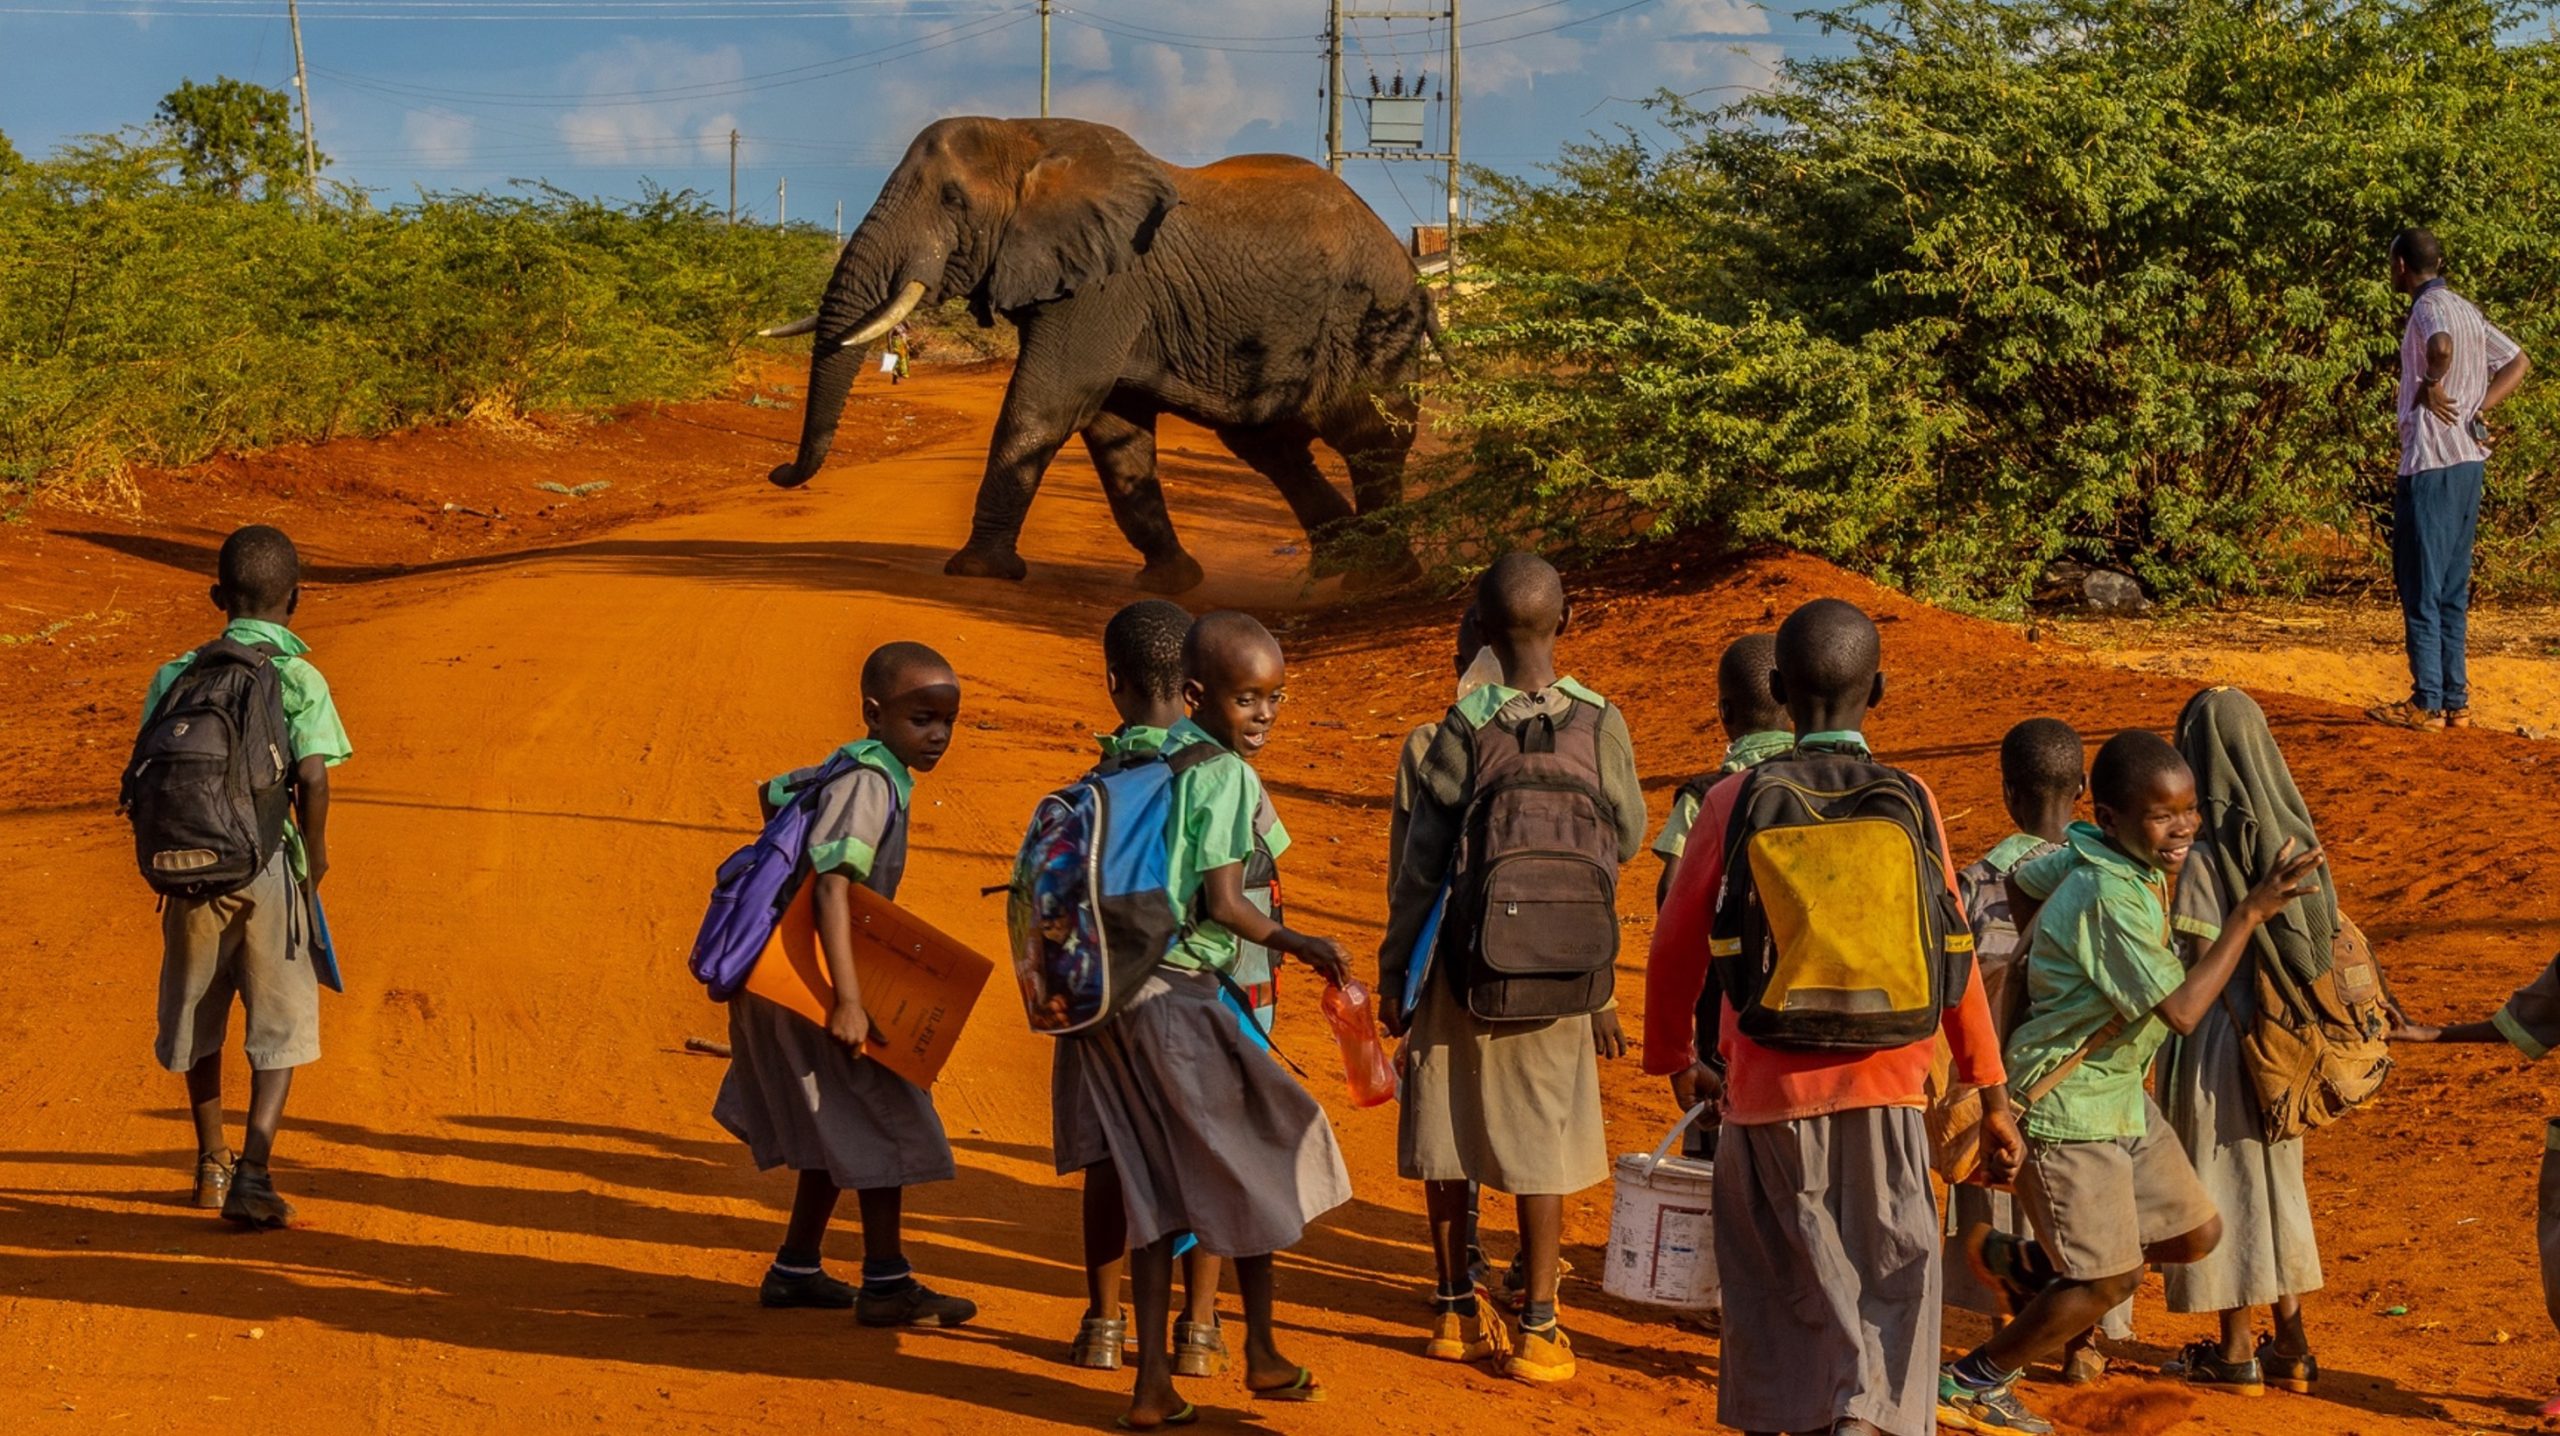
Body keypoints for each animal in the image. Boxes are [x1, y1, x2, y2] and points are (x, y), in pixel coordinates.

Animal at [760, 116, 1434, 593]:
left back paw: (1380, 576)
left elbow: (1048, 404)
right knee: (1274, 450)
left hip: (1371, 323)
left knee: (1368, 438)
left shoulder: (1108, 286)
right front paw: (1171, 583)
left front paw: (977, 572)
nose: (777, 474)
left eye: (952, 200)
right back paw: (1338, 565)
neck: (1025, 136)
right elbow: (1115, 432)